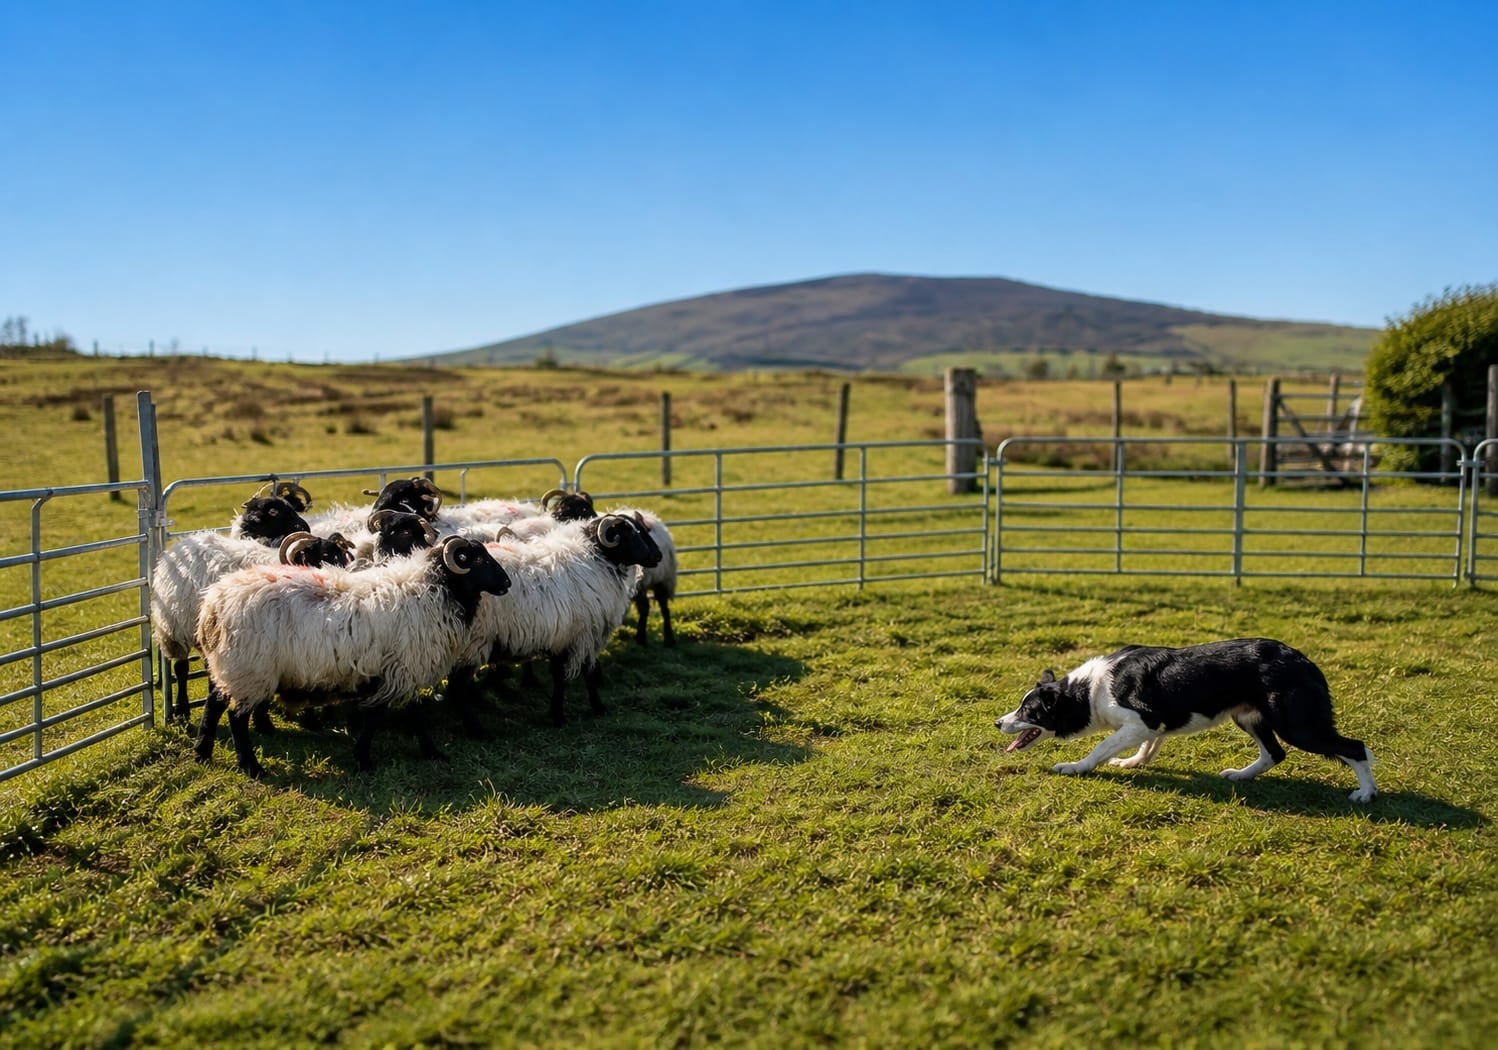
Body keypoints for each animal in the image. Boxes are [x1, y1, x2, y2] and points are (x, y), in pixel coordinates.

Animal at [193, 535, 511, 777]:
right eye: (476, 559)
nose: (507, 583)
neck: (434, 590)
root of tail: (213, 605)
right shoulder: (404, 668)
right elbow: (388, 716)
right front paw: (368, 759)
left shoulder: (400, 671)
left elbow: (404, 714)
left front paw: (426, 752)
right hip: (250, 669)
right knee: (236, 717)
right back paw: (251, 767)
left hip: (231, 666)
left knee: (213, 704)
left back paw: (202, 752)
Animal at [453, 513, 661, 726]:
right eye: (629, 533)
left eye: (641, 530)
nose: (657, 556)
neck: (596, 560)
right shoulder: (582, 635)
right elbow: (584, 674)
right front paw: (590, 709)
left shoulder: (560, 637)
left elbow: (559, 676)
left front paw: (556, 712)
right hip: (472, 643)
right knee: (457, 689)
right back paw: (472, 724)